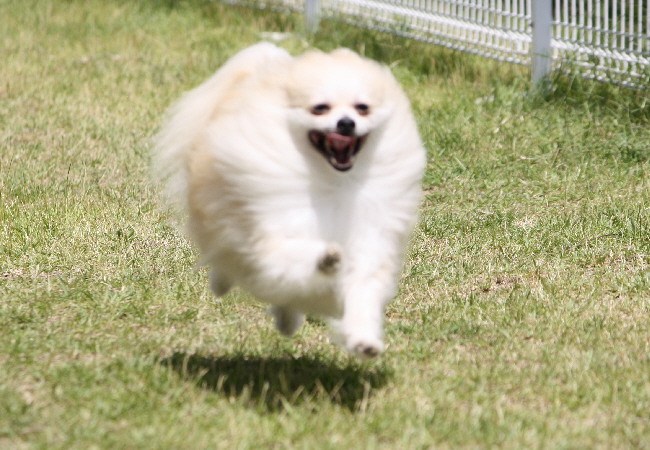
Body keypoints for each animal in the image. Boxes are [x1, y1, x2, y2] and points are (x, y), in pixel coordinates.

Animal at [154, 43, 425, 358]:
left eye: (362, 108)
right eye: (320, 108)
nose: (346, 123)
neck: (332, 183)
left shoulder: (369, 242)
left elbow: (362, 295)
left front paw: (364, 340)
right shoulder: (270, 236)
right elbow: (295, 252)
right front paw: (327, 256)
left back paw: (286, 321)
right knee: (226, 257)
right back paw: (224, 282)